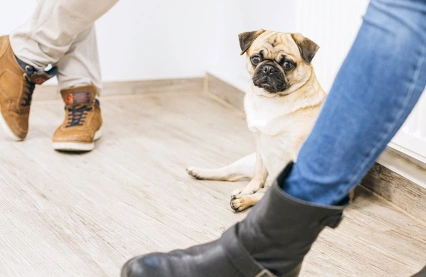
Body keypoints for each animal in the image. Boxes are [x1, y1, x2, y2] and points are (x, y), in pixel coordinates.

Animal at [186, 29, 326, 211]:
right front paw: (247, 191)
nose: (268, 68)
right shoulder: (261, 146)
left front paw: (245, 198)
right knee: (231, 174)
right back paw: (201, 173)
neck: (272, 100)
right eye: (255, 59)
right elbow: (257, 176)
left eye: (288, 64)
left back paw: (242, 199)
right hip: (247, 160)